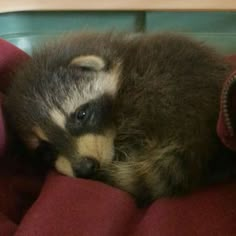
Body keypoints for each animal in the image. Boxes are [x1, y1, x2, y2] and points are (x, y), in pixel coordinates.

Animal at [3, 32, 234, 206]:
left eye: (81, 115)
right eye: (45, 150)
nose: (85, 169)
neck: (120, 58)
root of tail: (198, 132)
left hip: (159, 97)